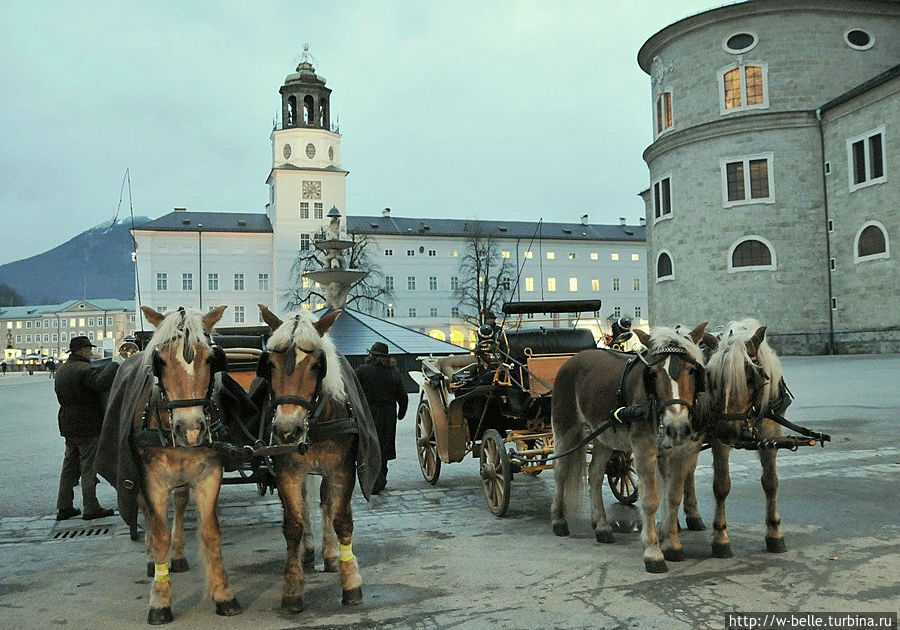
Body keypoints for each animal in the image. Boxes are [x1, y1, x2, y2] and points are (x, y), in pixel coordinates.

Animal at [132, 308, 241, 628]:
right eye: (160, 361)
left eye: (210, 359)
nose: (191, 431)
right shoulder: (152, 481)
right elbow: (159, 535)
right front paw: (159, 601)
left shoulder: (208, 475)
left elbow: (210, 532)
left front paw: (223, 594)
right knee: (145, 510)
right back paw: (151, 560)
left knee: (179, 503)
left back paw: (177, 555)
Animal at [256, 308, 376, 616]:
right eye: (270, 364)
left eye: (316, 365)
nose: (288, 429)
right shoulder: (287, 472)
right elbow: (293, 524)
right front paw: (292, 589)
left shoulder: (342, 471)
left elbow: (341, 520)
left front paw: (350, 582)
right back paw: (309, 549)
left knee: (326, 502)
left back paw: (331, 553)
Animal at [548, 324, 712, 576]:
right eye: (653, 374)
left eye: (692, 371)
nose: (676, 426)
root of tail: (574, 358)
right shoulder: (644, 449)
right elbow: (651, 500)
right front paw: (653, 552)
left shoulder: (680, 453)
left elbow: (673, 497)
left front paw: (672, 544)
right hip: (565, 428)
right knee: (560, 471)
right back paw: (559, 520)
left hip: (603, 437)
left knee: (595, 475)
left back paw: (602, 526)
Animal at [700, 318, 792, 560]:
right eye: (712, 378)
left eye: (751, 378)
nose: (726, 430)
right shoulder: (719, 443)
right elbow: (721, 486)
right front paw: (721, 537)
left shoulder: (771, 438)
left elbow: (770, 483)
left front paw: (774, 532)